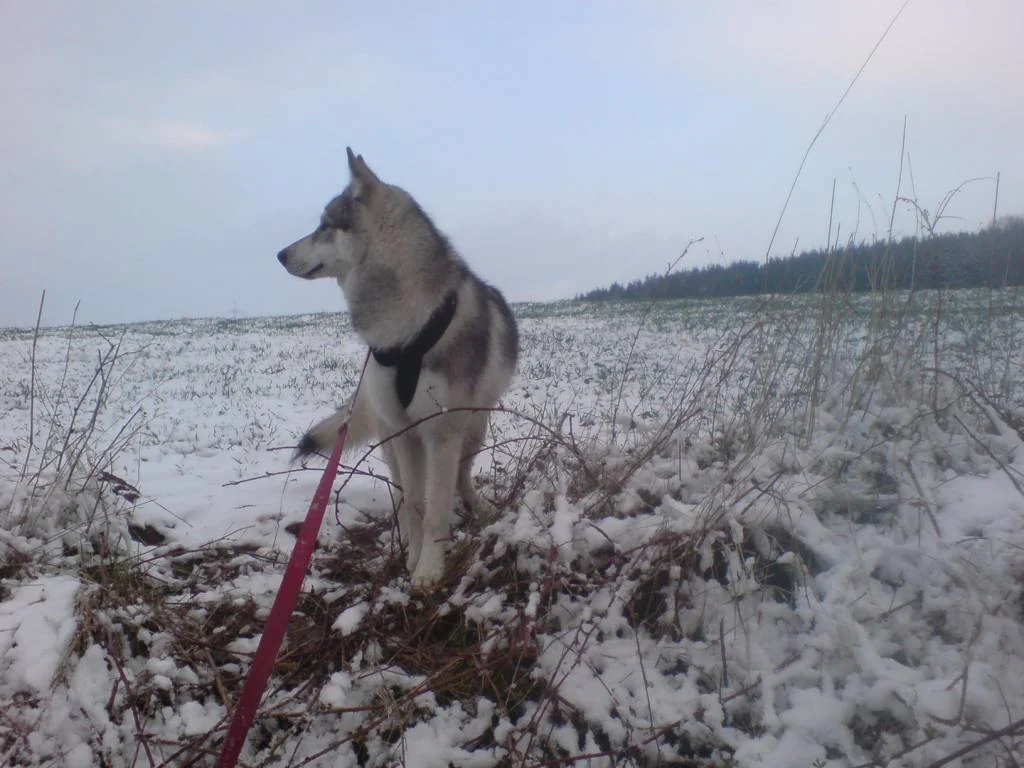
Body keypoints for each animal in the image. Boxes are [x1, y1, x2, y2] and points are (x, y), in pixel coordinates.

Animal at [277, 148, 519, 587]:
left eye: (324, 226)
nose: (280, 254)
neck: (403, 329)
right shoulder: (405, 434)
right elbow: (415, 504)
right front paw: (416, 559)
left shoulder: (441, 432)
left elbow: (436, 507)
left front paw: (429, 571)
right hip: (391, 437)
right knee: (403, 493)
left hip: (472, 427)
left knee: (460, 478)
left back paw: (478, 509)